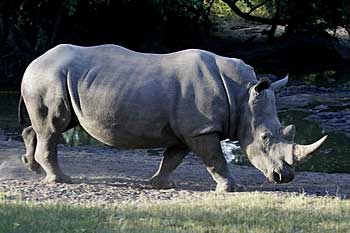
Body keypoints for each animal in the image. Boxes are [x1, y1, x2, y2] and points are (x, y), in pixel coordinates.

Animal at [18, 44, 326, 192]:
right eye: (265, 137)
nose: (285, 177)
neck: (242, 96)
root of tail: (33, 61)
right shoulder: (201, 128)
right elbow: (215, 159)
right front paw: (231, 188)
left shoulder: (189, 129)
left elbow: (173, 157)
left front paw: (160, 184)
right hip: (48, 77)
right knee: (53, 127)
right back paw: (60, 180)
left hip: (57, 79)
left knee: (45, 127)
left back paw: (34, 169)